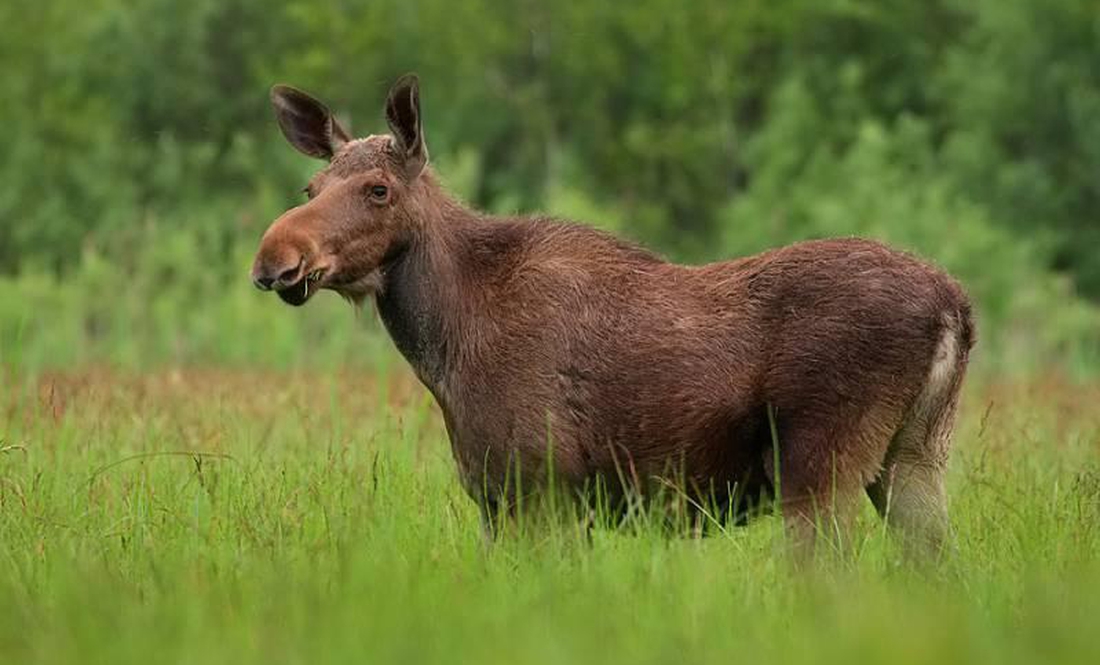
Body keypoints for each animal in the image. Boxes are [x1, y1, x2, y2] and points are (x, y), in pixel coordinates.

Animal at [253, 73, 976, 560]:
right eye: (310, 187)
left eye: (378, 189)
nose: (275, 257)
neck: (444, 344)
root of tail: (956, 309)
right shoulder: (497, 497)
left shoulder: (540, 487)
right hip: (914, 457)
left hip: (821, 467)